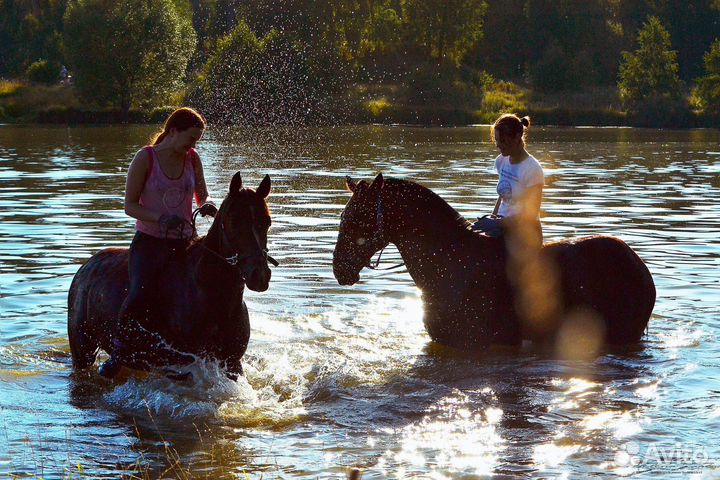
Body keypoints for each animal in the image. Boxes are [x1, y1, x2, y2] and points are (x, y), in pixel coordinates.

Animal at [67, 172, 272, 378]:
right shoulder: (180, 365)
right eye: (234, 222)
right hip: (82, 352)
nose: (260, 275)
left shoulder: (232, 364)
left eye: (267, 222)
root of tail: (85, 268)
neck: (210, 291)